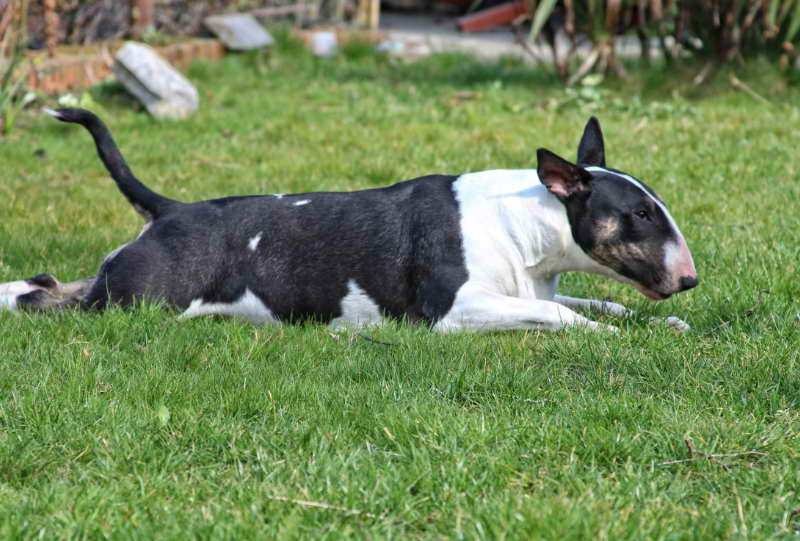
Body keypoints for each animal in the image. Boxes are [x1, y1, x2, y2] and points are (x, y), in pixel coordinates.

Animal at [0, 107, 696, 332]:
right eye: (639, 213)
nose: (690, 280)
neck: (524, 225)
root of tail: (170, 210)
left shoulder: (533, 287)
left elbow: (603, 301)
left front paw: (659, 322)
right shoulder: (455, 310)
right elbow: (563, 316)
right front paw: (602, 334)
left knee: (48, 282)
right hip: (137, 299)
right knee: (47, 300)